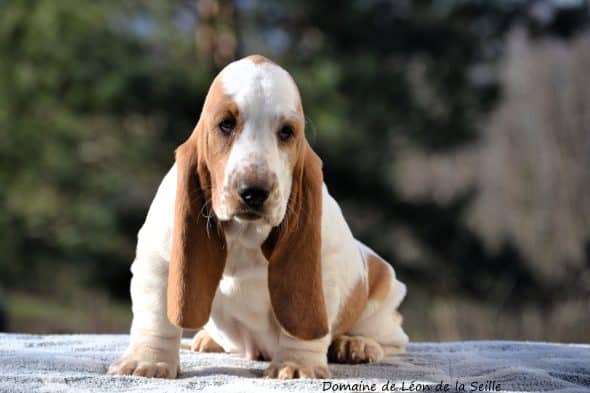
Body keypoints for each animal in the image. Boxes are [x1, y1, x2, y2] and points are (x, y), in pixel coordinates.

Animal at [107, 55, 408, 380]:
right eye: (226, 124)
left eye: (287, 132)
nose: (253, 192)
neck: (244, 235)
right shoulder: (158, 262)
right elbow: (156, 319)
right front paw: (148, 362)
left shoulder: (321, 267)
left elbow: (302, 329)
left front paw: (297, 365)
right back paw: (207, 339)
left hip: (384, 297)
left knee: (391, 341)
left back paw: (355, 344)